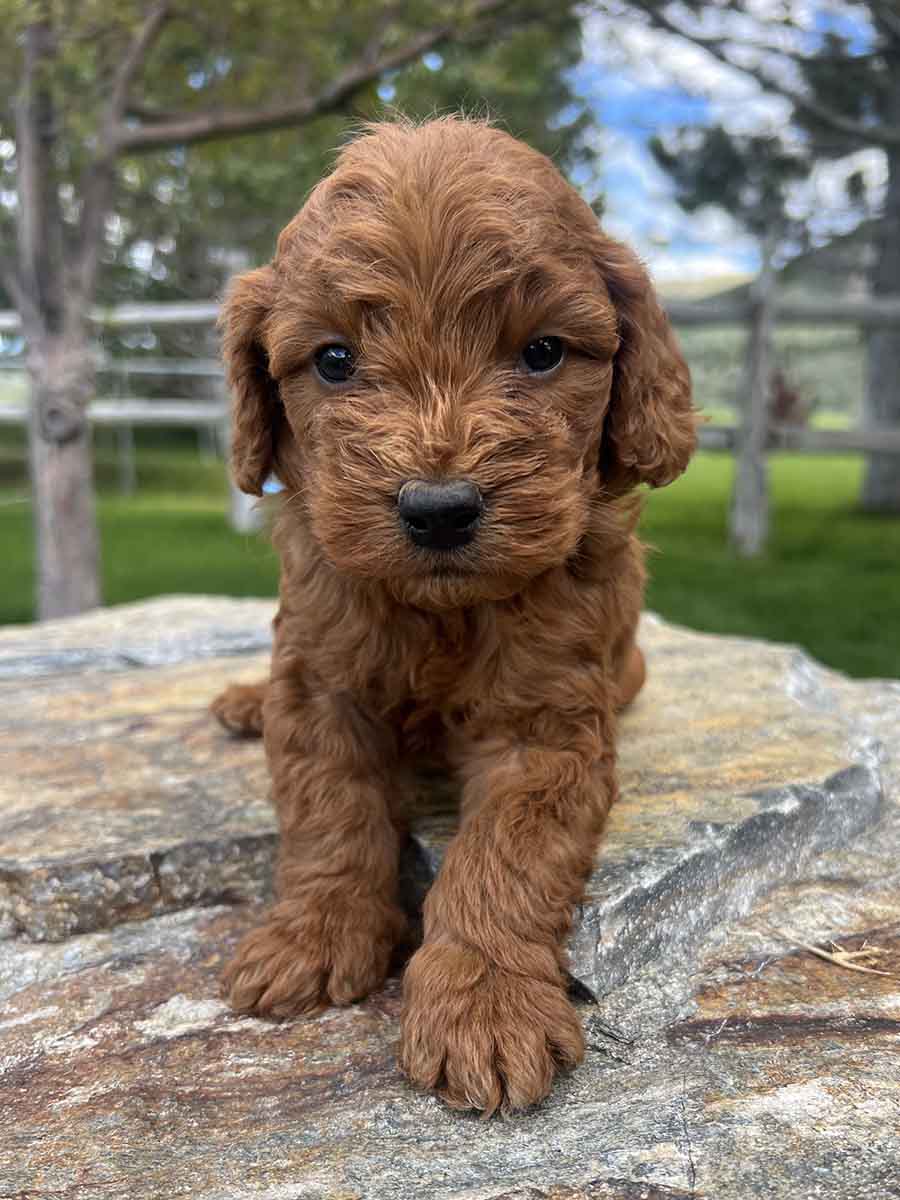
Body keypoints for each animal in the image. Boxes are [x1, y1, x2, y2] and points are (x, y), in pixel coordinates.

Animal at [213, 114, 696, 1113]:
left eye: (543, 351)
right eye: (334, 360)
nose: (439, 509)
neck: (442, 612)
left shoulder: (545, 726)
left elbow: (503, 858)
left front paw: (484, 1002)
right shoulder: (318, 680)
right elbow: (329, 811)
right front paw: (313, 935)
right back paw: (242, 702)